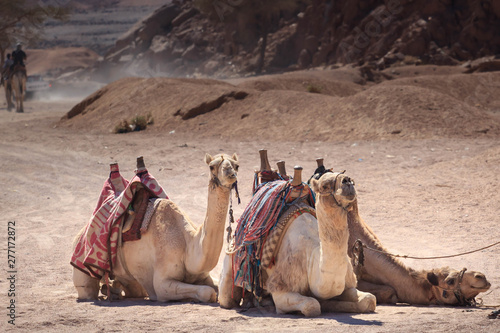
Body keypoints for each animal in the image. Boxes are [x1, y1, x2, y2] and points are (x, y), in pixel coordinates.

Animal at [72, 152, 240, 302]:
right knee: (87, 289)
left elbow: (214, 287)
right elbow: (208, 292)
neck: (189, 243)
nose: (230, 173)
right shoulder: (162, 283)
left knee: (134, 289)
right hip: (84, 270)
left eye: (236, 165)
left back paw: (113, 290)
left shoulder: (203, 276)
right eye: (212, 166)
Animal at [219, 166, 376, 316]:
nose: (348, 181)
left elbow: (369, 299)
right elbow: (312, 305)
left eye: (348, 177)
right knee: (227, 298)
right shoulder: (281, 286)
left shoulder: (347, 284)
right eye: (325, 185)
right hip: (231, 264)